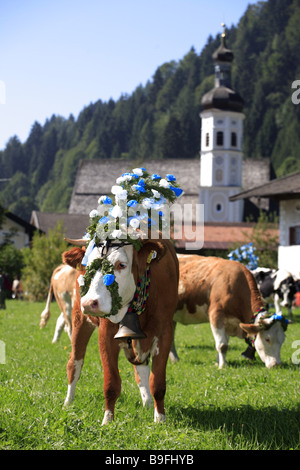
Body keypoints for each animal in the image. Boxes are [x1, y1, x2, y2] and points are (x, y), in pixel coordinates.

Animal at [61, 239, 178, 426]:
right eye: (89, 266)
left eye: (121, 264)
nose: (90, 302)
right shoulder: (106, 334)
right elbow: (111, 383)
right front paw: (108, 420)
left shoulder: (165, 332)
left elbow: (157, 383)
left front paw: (160, 419)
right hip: (80, 319)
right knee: (74, 363)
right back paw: (68, 403)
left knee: (141, 369)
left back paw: (147, 403)